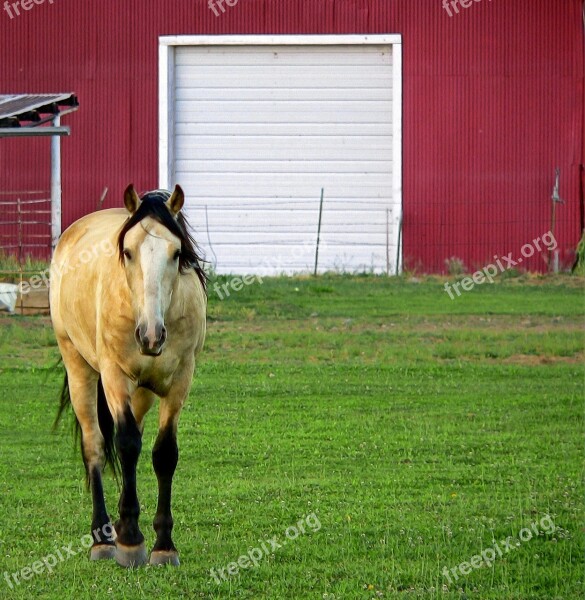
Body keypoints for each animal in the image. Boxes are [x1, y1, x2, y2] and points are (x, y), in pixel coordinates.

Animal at [49, 184, 208, 568]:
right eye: (128, 252)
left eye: (177, 252)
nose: (151, 336)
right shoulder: (115, 377)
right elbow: (126, 444)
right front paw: (133, 542)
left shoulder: (180, 381)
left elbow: (163, 453)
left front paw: (163, 546)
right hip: (79, 368)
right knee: (95, 446)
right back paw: (104, 539)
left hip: (143, 392)